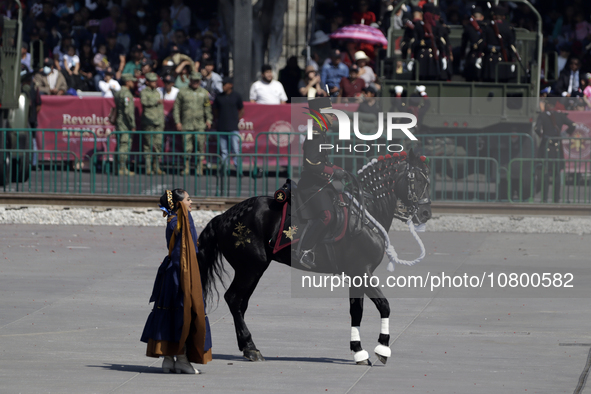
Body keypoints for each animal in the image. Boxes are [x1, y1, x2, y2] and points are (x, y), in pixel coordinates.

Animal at [197, 150, 432, 364]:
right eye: (417, 179)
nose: (426, 213)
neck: (364, 215)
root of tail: (225, 216)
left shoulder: (356, 276)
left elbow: (356, 311)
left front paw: (358, 350)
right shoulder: (362, 272)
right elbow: (384, 305)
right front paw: (381, 349)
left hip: (252, 269)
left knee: (240, 302)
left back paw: (248, 346)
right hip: (251, 268)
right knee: (234, 299)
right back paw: (251, 347)